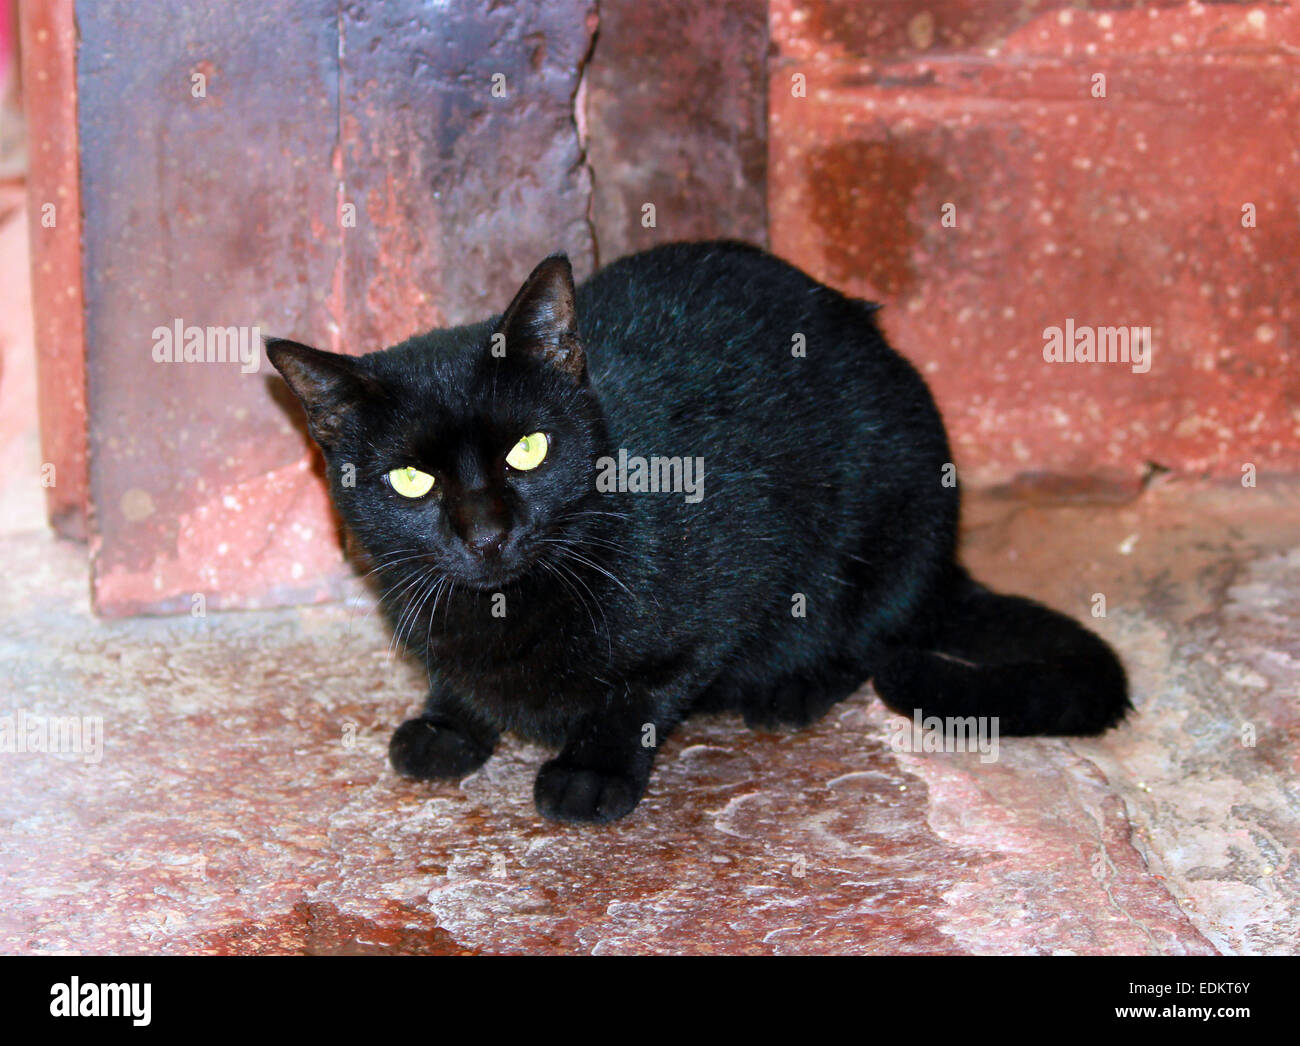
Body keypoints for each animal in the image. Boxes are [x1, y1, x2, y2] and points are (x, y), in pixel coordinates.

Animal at [266, 240, 1128, 821]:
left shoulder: (724, 595)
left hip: (896, 520)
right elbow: (454, 672)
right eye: (411, 480)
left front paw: (592, 772)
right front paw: (447, 723)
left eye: (528, 450)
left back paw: (793, 688)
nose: (485, 533)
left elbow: (642, 693)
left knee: (872, 634)